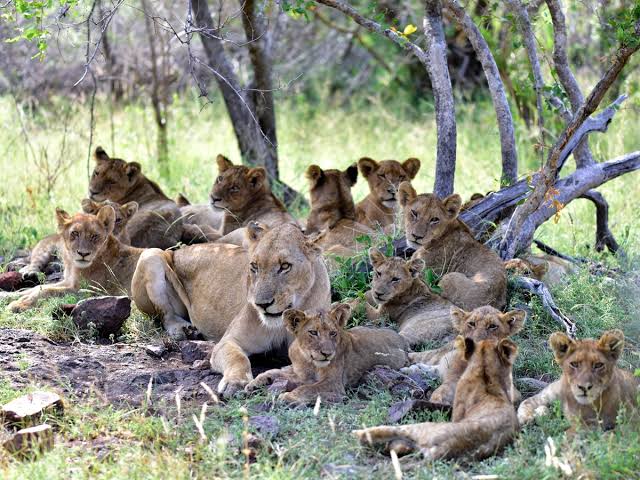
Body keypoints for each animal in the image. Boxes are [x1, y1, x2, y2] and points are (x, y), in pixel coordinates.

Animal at [7, 205, 144, 312]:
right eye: (75, 233)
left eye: (95, 236)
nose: (83, 253)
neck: (72, 265)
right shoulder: (69, 281)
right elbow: (37, 288)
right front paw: (7, 295)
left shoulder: (87, 291)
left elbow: (47, 291)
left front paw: (19, 304)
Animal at [131, 222, 331, 396]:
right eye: (254, 266)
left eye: (285, 266)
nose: (261, 304)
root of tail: (178, 250)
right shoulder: (228, 341)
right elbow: (237, 358)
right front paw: (235, 382)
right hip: (151, 255)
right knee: (166, 315)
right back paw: (184, 330)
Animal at [245, 303, 408, 405]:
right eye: (313, 332)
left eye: (333, 333)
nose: (327, 354)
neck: (308, 361)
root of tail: (400, 338)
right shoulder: (301, 375)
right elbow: (274, 371)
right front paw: (253, 384)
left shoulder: (333, 384)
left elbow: (307, 389)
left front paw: (288, 396)